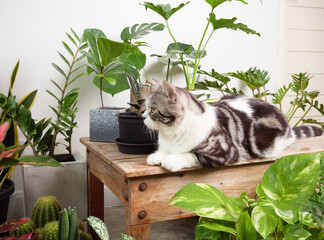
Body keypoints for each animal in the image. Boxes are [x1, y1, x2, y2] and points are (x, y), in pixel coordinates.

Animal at [143, 81, 322, 172]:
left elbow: (192, 155)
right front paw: (157, 156)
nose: (143, 116)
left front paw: (171, 160)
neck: (171, 133)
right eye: (144, 107)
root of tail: (289, 129)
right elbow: (163, 151)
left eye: (152, 109)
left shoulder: (226, 152)